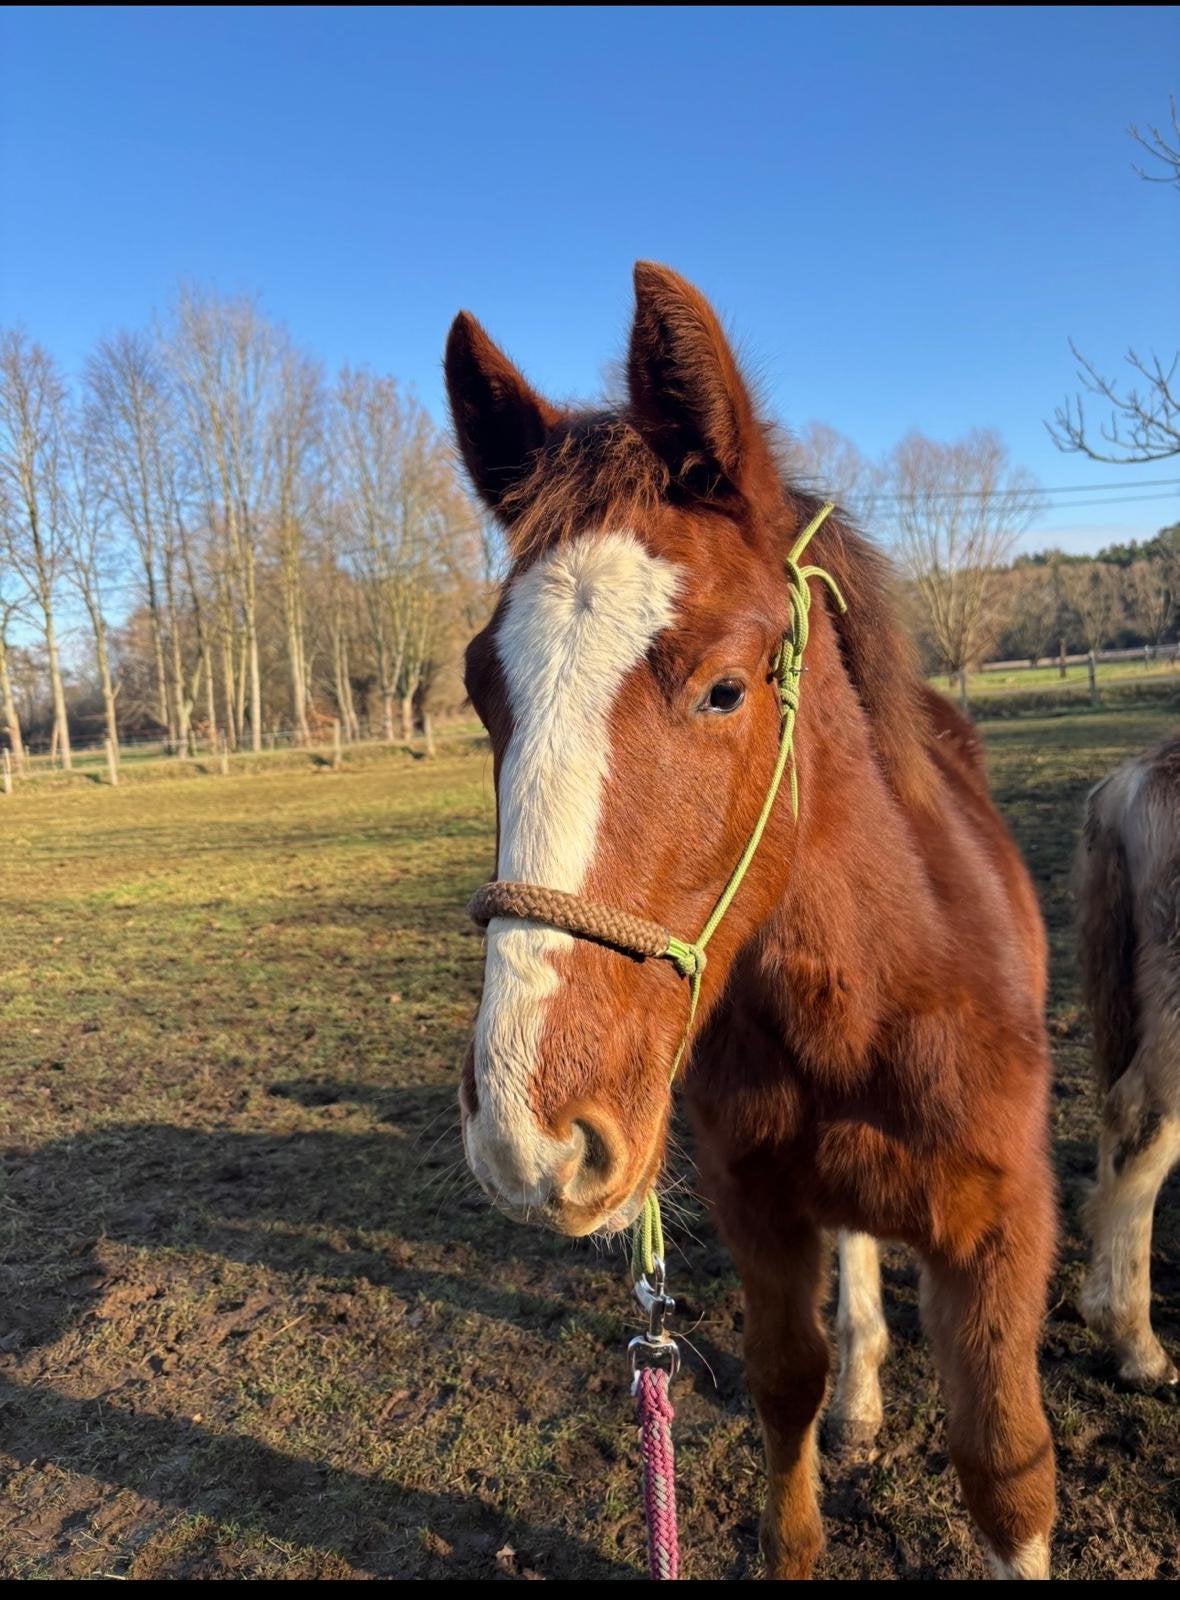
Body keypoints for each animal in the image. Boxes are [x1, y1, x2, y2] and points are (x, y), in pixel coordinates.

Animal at [447, 263, 1056, 1579]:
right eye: (481, 687)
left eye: (724, 688)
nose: (530, 1134)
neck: (871, 1002)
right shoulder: (758, 1210)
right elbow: (789, 1394)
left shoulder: (997, 1235)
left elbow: (1006, 1472)